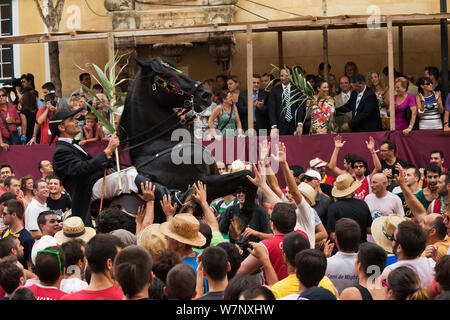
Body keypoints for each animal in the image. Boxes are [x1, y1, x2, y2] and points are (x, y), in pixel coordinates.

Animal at [114, 57, 255, 222]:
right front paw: (245, 214)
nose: (205, 94)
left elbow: (248, 176)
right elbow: (246, 175)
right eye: (165, 76)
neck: (162, 143)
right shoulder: (202, 182)